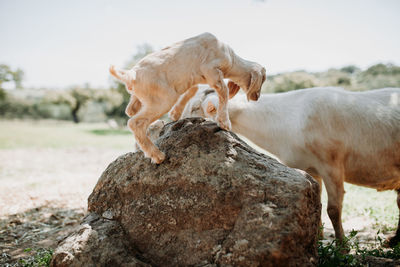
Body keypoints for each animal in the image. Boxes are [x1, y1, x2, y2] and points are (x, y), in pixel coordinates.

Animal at [109, 32, 266, 164]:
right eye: (263, 79)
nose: (256, 97)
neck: (232, 59)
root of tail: (131, 75)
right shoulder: (211, 70)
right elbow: (224, 91)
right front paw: (224, 123)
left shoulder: (194, 77)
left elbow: (192, 91)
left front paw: (175, 114)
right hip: (163, 100)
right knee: (135, 123)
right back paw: (158, 156)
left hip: (146, 98)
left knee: (130, 111)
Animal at [180, 86, 400, 247]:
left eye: (195, 108)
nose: (176, 124)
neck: (290, 116)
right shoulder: (310, 170)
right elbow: (318, 205)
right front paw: (316, 240)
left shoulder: (332, 165)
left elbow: (333, 209)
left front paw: (342, 247)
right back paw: (393, 241)